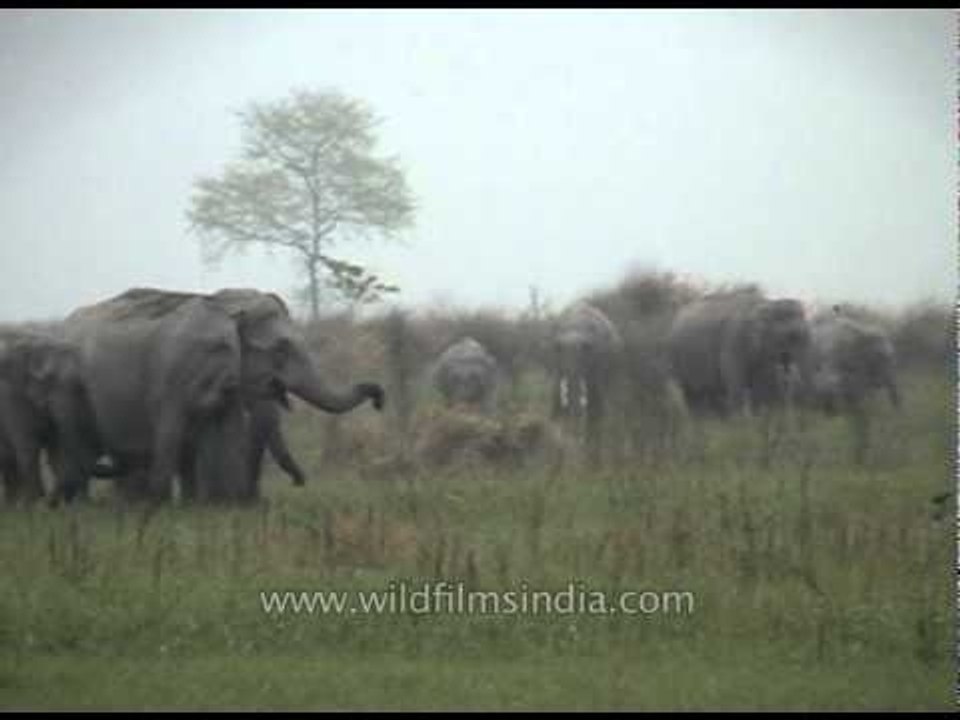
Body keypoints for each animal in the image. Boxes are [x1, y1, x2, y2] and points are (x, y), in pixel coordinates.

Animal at [0, 330, 104, 505]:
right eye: (50, 382)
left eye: (80, 387)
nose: (51, 500)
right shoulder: (12, 398)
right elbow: (29, 447)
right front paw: (35, 503)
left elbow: (57, 450)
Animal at [62, 287, 384, 503]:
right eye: (281, 349)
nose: (380, 400)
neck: (228, 308)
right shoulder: (173, 376)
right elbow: (170, 429)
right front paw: (159, 509)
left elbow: (226, 429)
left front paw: (211, 508)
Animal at [666, 289, 812, 417]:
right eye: (791, 336)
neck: (767, 304)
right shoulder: (733, 341)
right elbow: (736, 381)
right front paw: (740, 422)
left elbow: (762, 383)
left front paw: (760, 417)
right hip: (677, 356)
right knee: (691, 393)